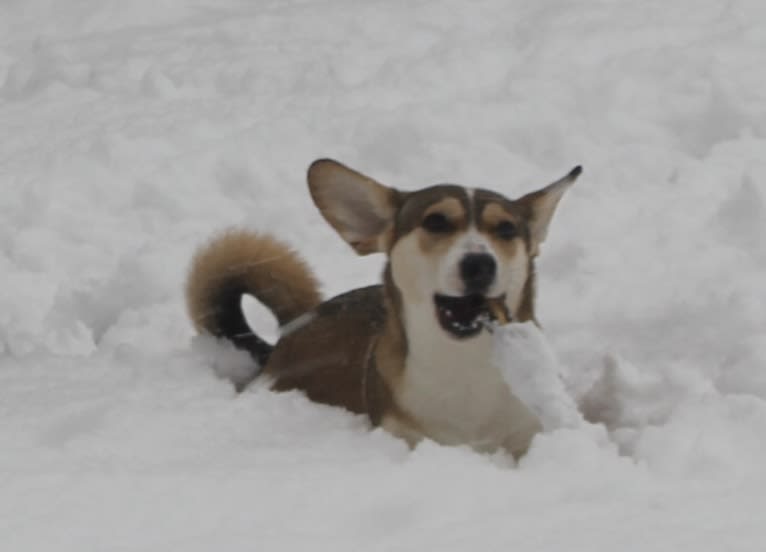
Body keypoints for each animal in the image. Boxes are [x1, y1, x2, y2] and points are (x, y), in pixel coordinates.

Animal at [188, 158, 584, 458]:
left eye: (505, 229)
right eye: (435, 221)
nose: (480, 264)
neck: (465, 366)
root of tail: (282, 341)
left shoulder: (527, 432)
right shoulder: (407, 437)